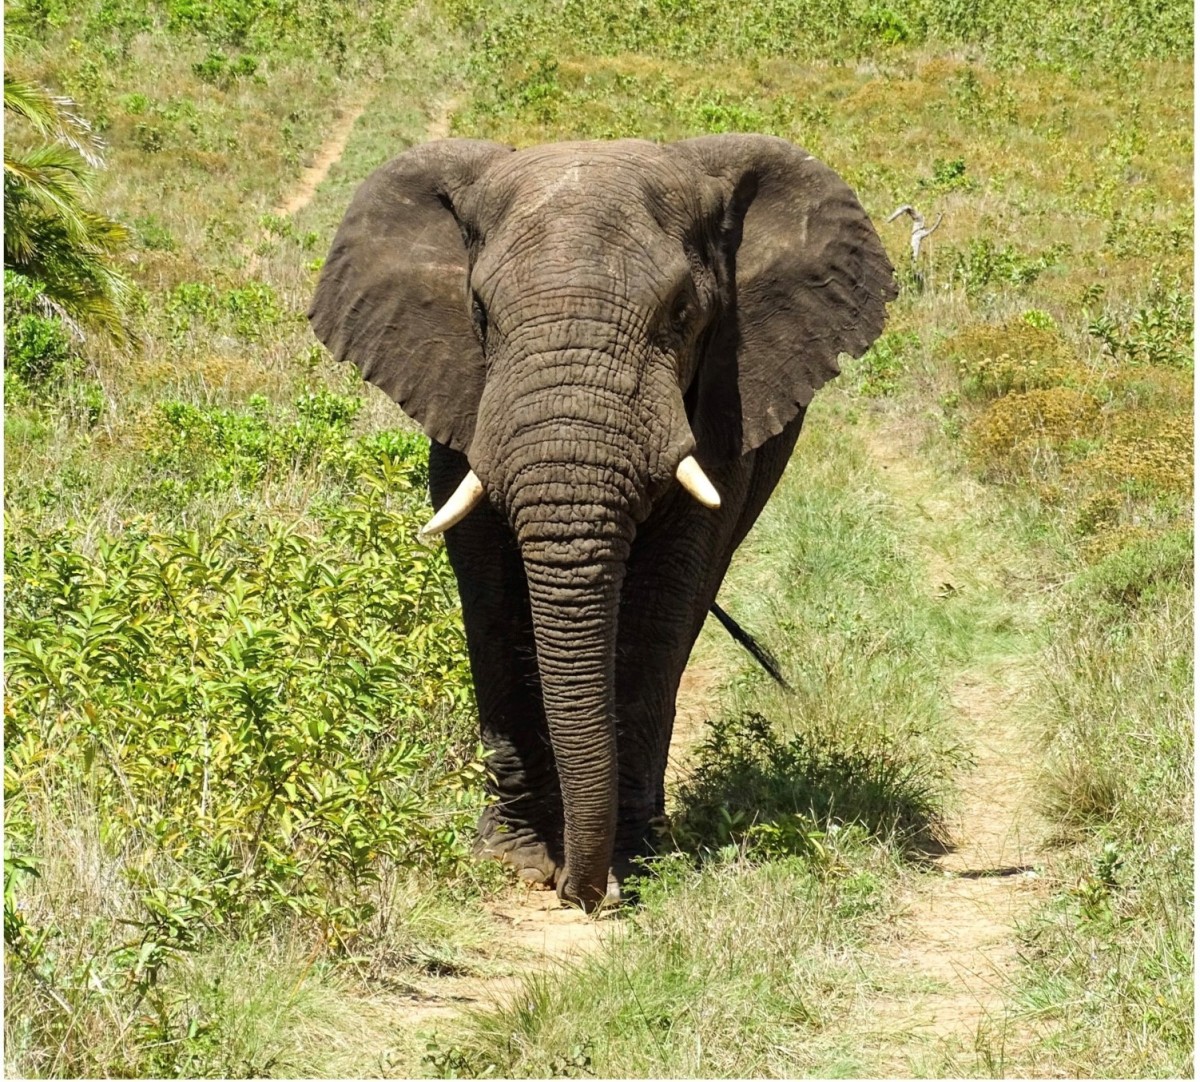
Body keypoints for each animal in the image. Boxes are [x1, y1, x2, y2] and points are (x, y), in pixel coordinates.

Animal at [309, 134, 896, 912]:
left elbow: (661, 604)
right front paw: (516, 861)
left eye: (681, 312)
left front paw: (631, 861)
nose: (581, 894)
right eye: (480, 311)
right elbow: (490, 597)